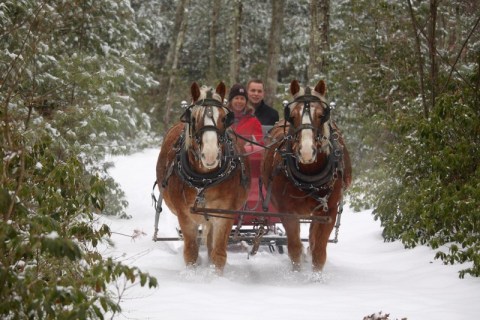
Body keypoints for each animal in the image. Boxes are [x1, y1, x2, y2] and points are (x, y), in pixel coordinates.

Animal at [156, 81, 251, 274]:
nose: (210, 154)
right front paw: (193, 275)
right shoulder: (185, 215)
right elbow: (191, 252)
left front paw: (215, 276)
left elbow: (218, 254)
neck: (204, 181)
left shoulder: (224, 214)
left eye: (224, 118)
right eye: (193, 118)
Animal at [262, 79, 352, 272]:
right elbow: (294, 249)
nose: (306, 151)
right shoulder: (287, 212)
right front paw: (297, 274)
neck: (309, 176)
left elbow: (319, 252)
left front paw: (316, 276)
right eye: (292, 116)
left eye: (321, 115)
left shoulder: (328, 212)